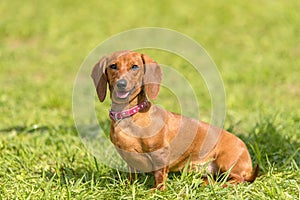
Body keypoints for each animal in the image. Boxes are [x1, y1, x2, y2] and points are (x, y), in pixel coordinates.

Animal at [91, 50, 258, 191]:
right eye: (113, 66)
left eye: (135, 67)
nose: (121, 84)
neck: (129, 115)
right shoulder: (130, 161)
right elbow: (131, 176)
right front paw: (127, 187)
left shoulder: (160, 154)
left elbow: (159, 177)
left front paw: (155, 191)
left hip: (227, 161)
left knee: (238, 179)